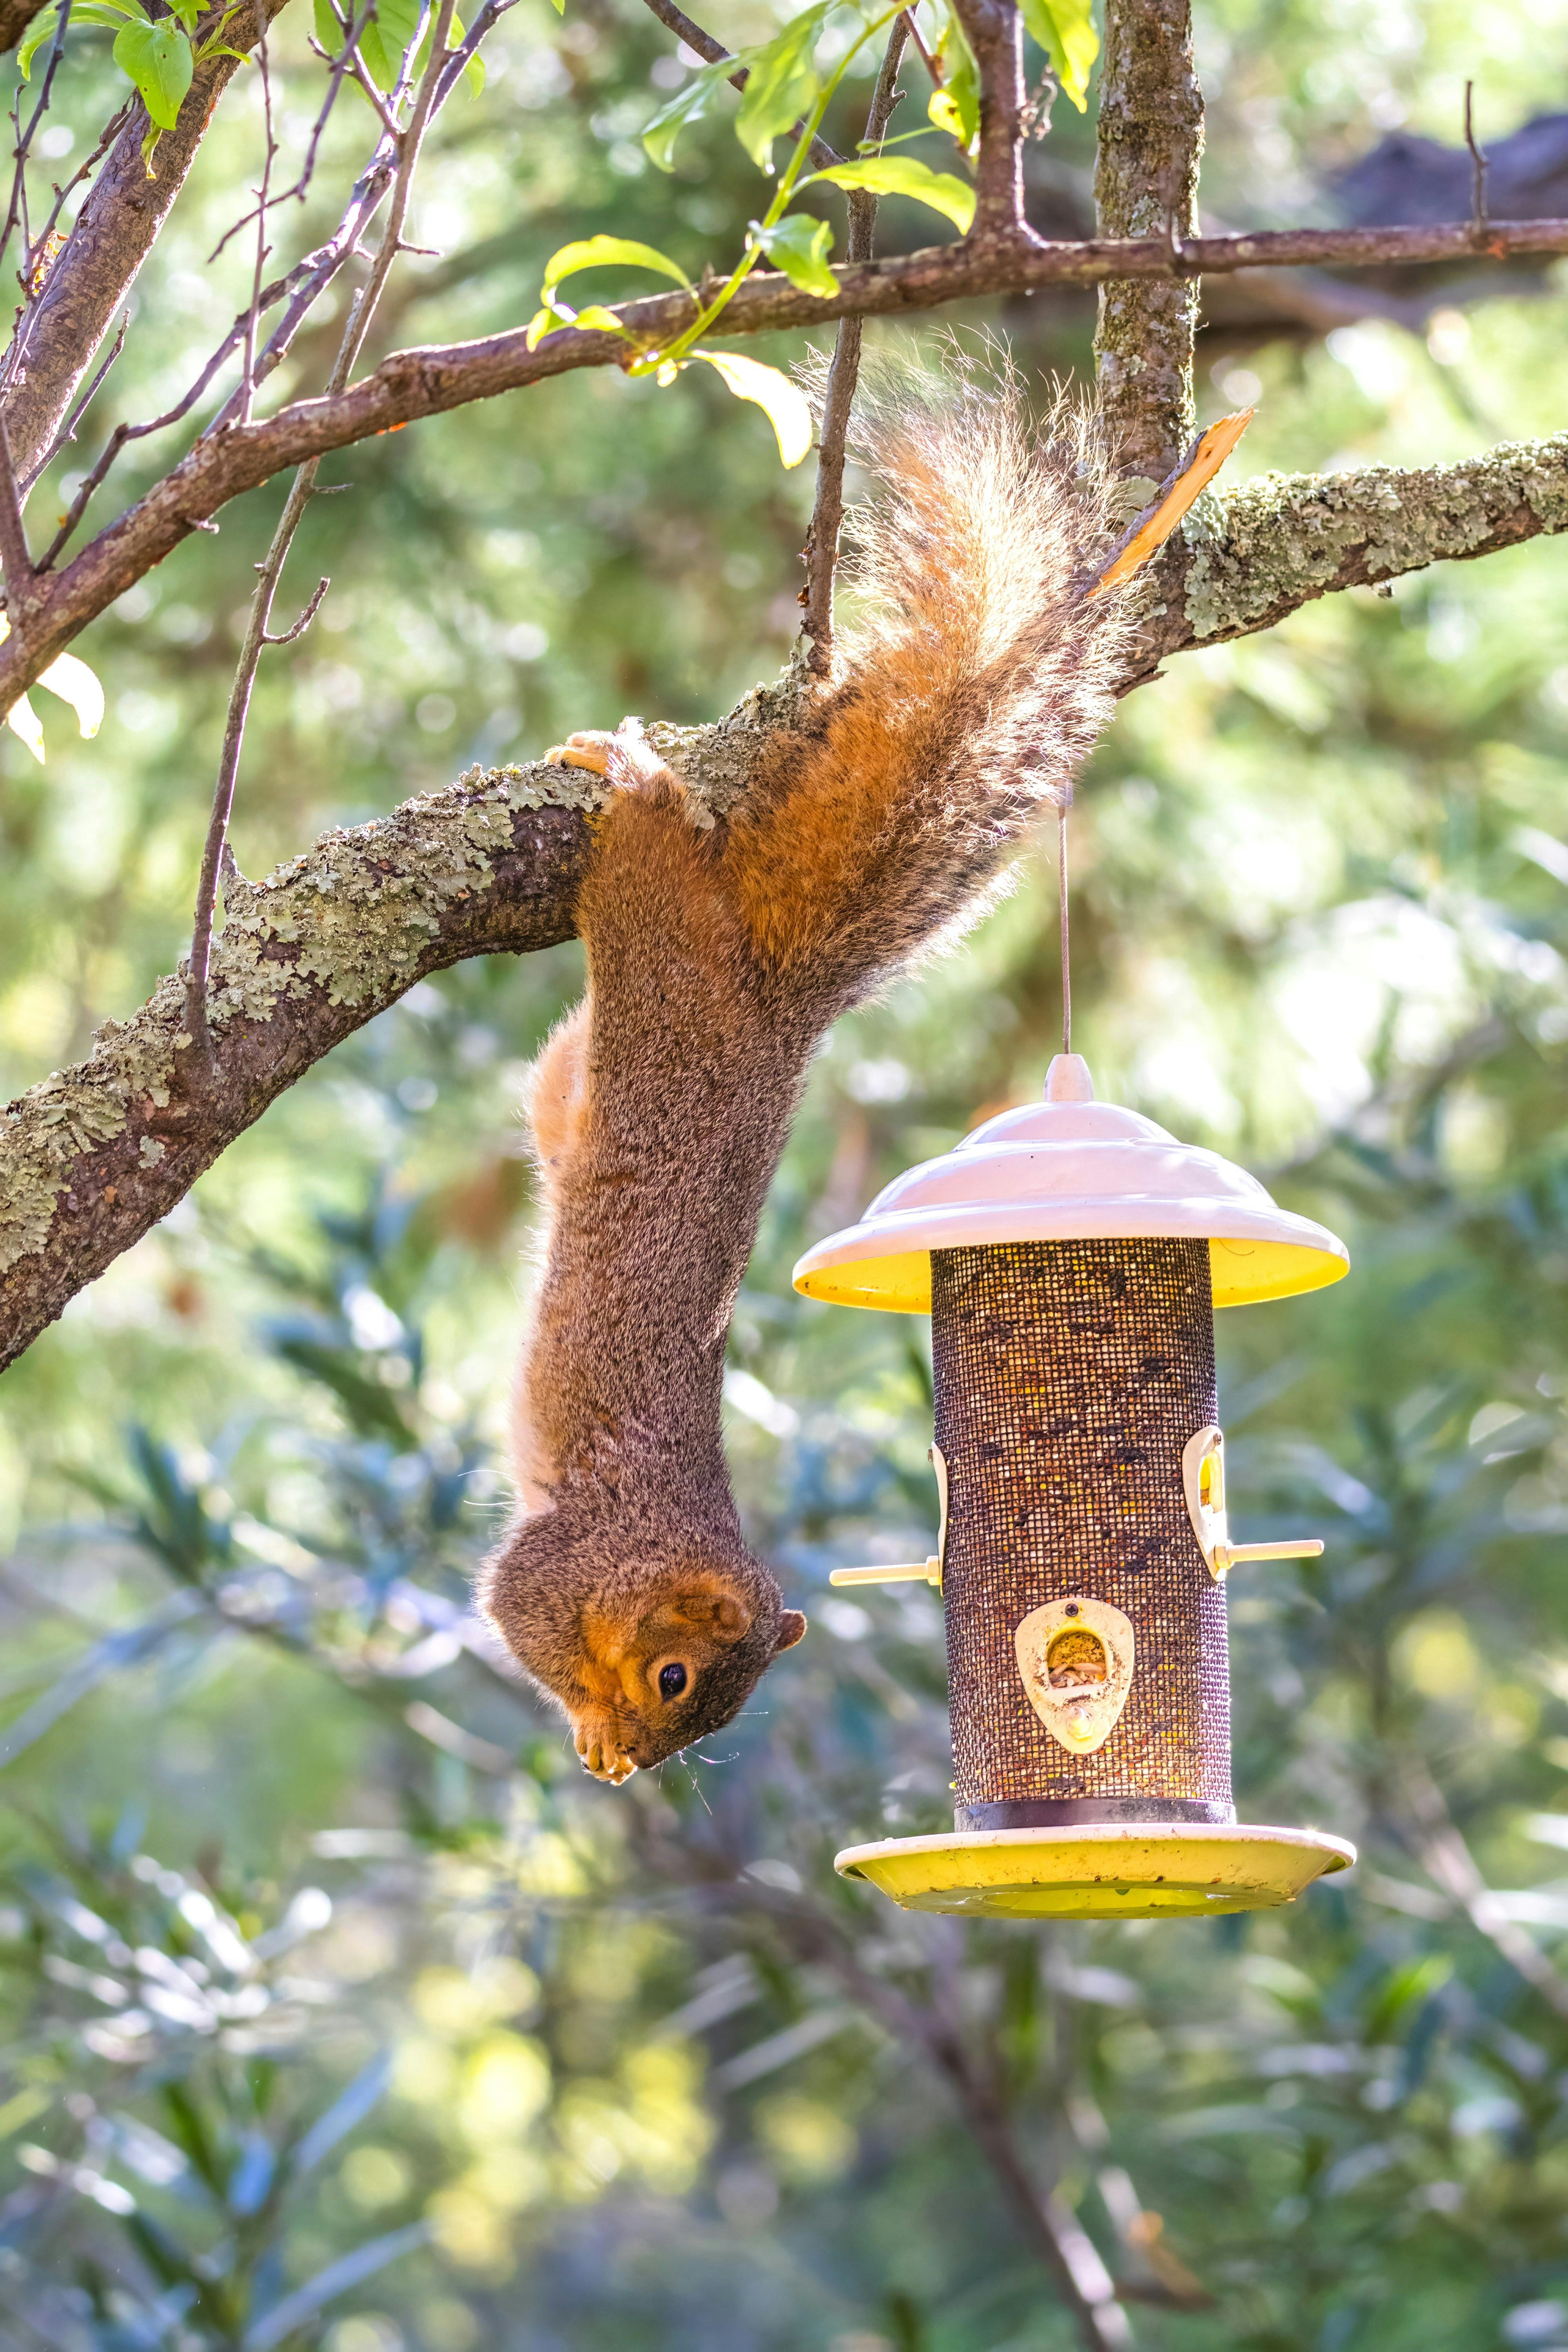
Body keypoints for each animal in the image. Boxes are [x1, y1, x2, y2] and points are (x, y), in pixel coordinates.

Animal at [478, 363, 1137, 1785]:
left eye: (712, 1710)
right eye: (675, 1677)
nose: (631, 1767)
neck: (662, 1543)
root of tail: (771, 1002)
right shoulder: (557, 1563)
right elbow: (513, 1613)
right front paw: (583, 1719)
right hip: (654, 932)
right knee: (648, 846)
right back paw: (639, 775)